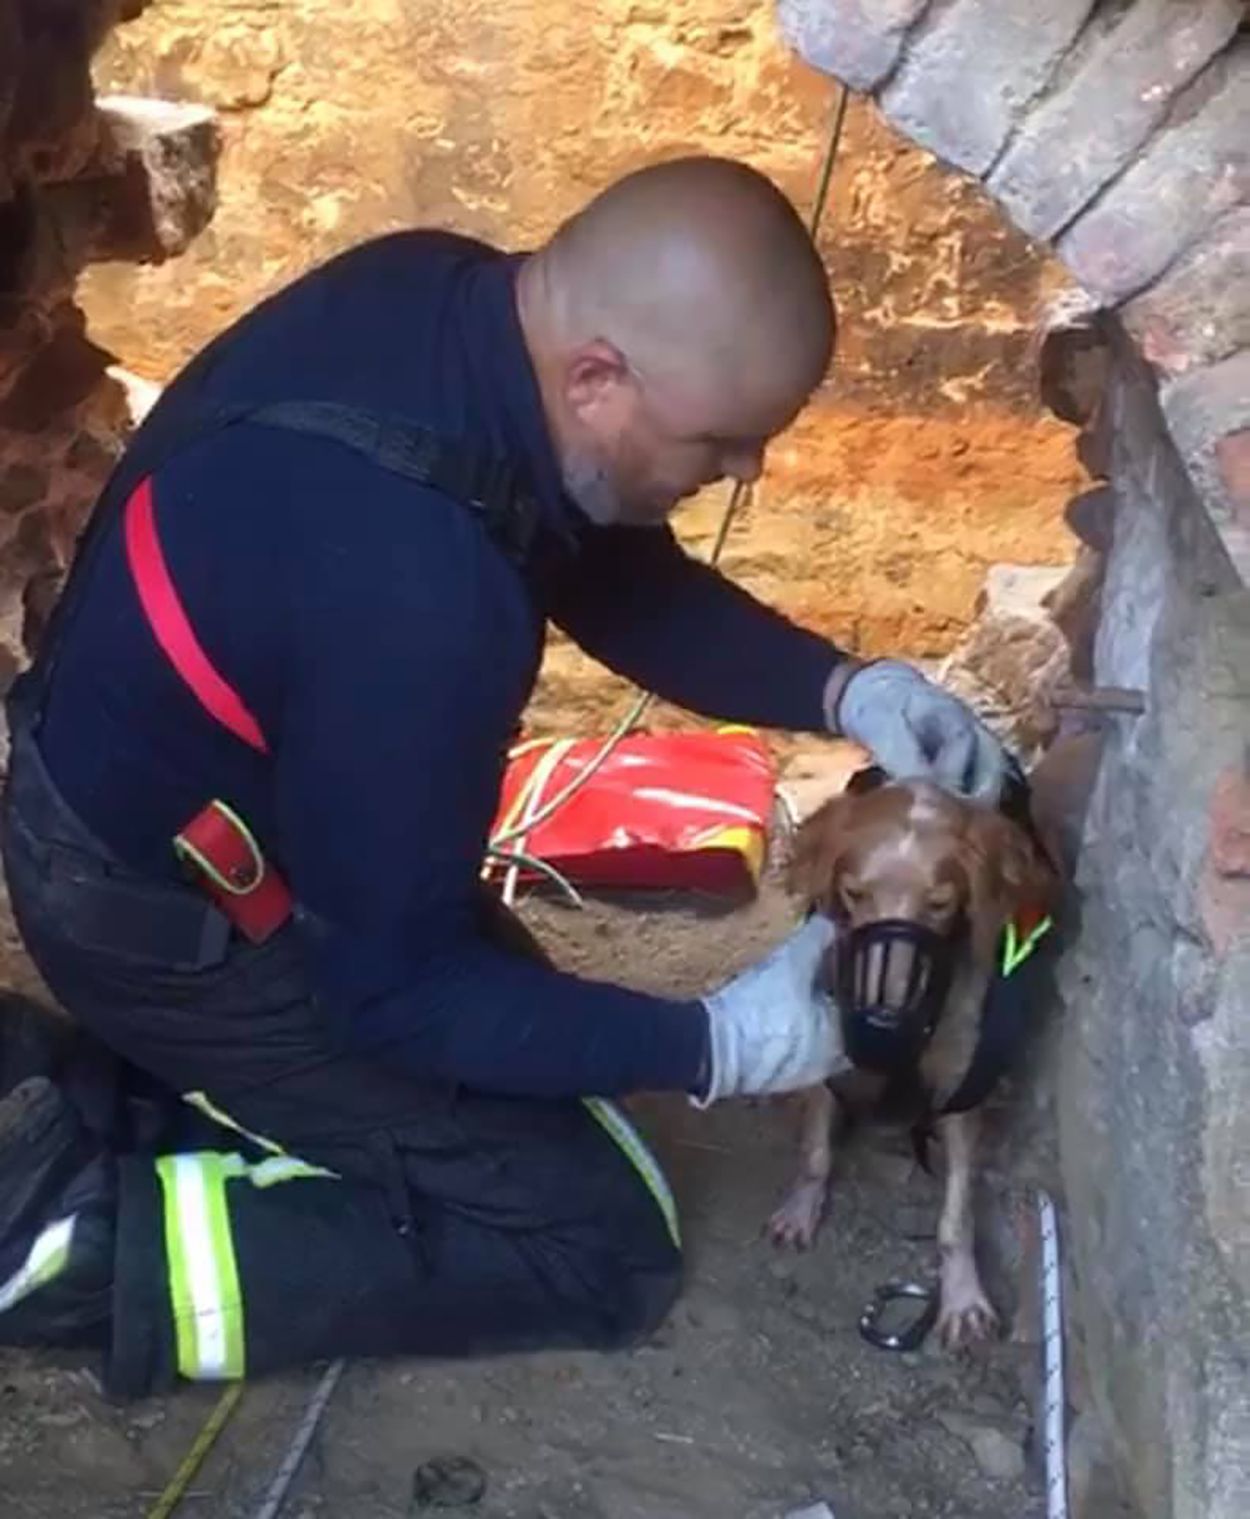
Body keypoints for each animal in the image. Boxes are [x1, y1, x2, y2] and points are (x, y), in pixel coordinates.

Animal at [771, 777, 1057, 1348]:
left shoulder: (960, 1090)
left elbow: (956, 1218)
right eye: (854, 894)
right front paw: (801, 1207)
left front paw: (964, 1298)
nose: (881, 1019)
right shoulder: (827, 1054)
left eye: (940, 903)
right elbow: (815, 1152)